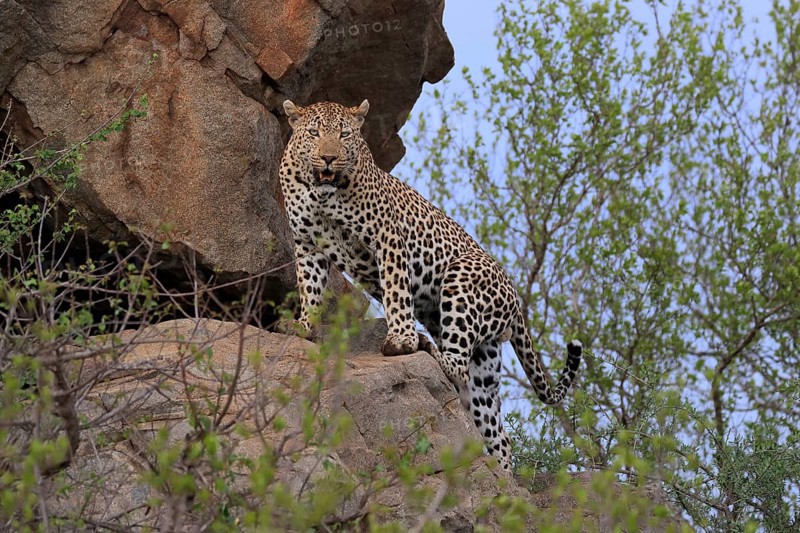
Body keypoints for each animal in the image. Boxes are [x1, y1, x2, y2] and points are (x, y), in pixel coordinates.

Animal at [279, 99, 582, 471]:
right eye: (314, 132)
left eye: (345, 134)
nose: (328, 158)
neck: (321, 194)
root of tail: (514, 299)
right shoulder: (307, 244)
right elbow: (309, 287)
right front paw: (303, 326)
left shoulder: (387, 238)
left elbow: (396, 292)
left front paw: (401, 340)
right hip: (484, 362)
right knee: (493, 424)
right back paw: (502, 478)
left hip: (460, 279)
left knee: (456, 365)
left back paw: (425, 345)